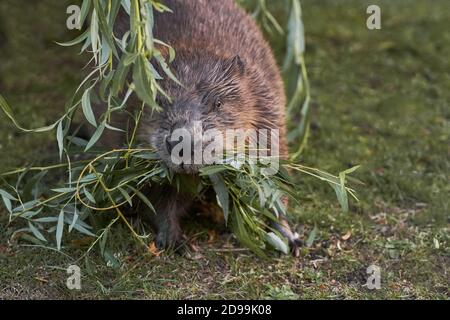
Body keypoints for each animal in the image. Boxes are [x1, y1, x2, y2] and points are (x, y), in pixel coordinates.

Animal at [101, 0, 300, 255]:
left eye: (218, 103)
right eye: (160, 101)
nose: (182, 144)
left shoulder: (267, 112)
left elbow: (274, 176)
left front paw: (287, 236)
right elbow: (160, 196)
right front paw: (174, 239)